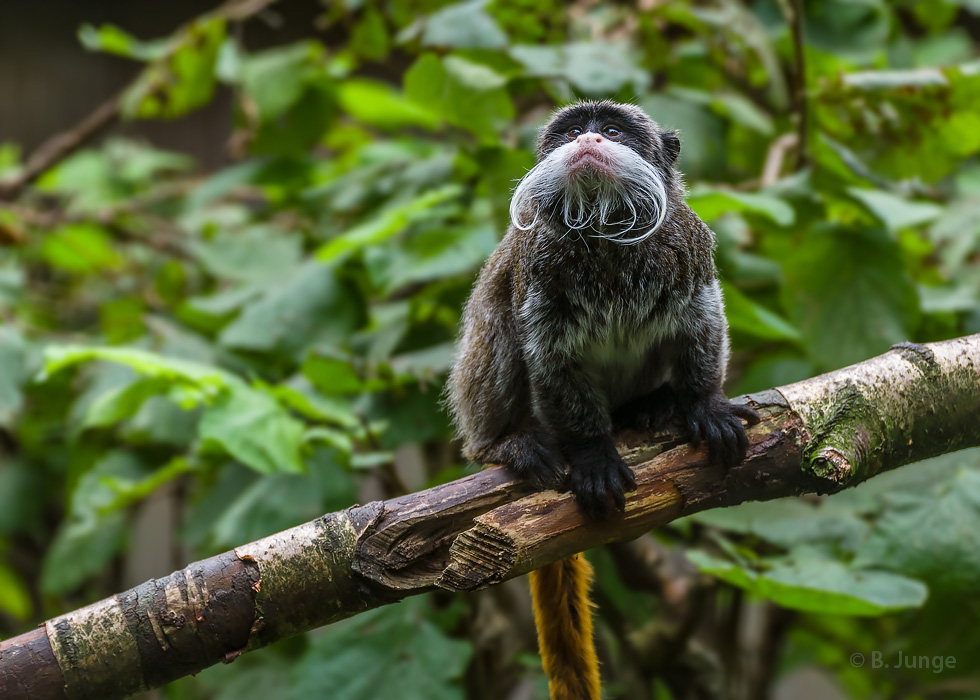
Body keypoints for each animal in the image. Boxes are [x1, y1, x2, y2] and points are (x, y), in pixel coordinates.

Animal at [444, 100, 756, 700]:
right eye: (570, 132)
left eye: (610, 130)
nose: (587, 140)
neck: (607, 231)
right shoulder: (539, 276)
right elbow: (548, 358)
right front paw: (592, 456)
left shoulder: (688, 250)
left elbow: (702, 320)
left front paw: (704, 404)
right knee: (496, 316)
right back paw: (506, 443)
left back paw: (650, 407)